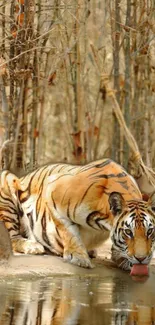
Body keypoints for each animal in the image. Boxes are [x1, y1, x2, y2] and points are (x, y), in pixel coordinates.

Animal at [0, 158, 155, 270]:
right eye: (128, 232)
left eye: (150, 231)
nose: (141, 259)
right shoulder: (52, 190)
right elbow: (69, 231)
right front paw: (79, 258)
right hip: (6, 180)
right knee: (13, 237)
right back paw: (32, 246)